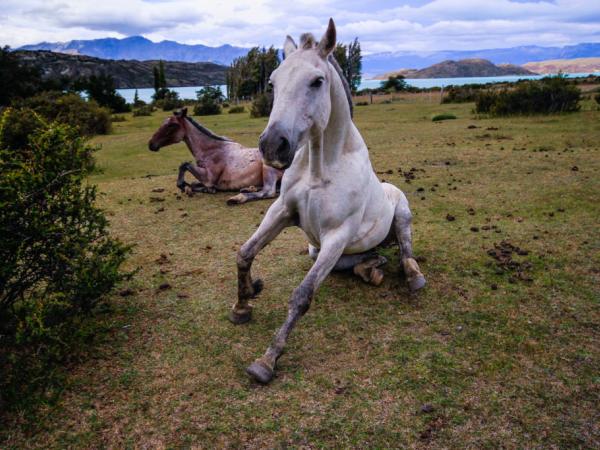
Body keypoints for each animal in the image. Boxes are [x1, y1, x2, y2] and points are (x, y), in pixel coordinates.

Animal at [149, 108, 282, 203]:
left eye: (172, 125)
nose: (151, 144)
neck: (212, 150)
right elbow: (193, 183)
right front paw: (202, 189)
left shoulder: (208, 178)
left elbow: (185, 165)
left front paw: (186, 186)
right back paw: (247, 188)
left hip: (268, 170)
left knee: (268, 192)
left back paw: (237, 198)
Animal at [231, 18, 426, 384]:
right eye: (273, 82)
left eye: (317, 81)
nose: (273, 145)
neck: (321, 167)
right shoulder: (282, 211)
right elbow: (245, 253)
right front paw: (243, 303)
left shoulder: (337, 234)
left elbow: (302, 295)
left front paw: (267, 360)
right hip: (317, 250)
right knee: (362, 262)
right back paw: (370, 268)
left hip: (401, 215)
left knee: (406, 248)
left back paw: (412, 276)